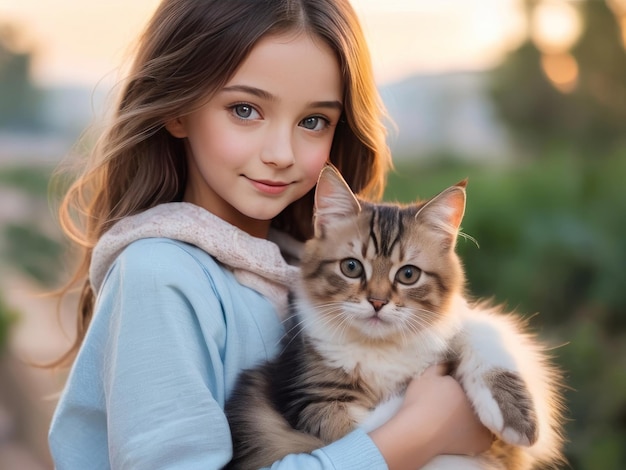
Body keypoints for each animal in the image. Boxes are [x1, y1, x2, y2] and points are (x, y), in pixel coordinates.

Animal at [225, 163, 564, 468]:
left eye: (408, 275)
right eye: (351, 267)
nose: (377, 302)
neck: (380, 349)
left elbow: (483, 331)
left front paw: (516, 416)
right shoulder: (312, 401)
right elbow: (388, 421)